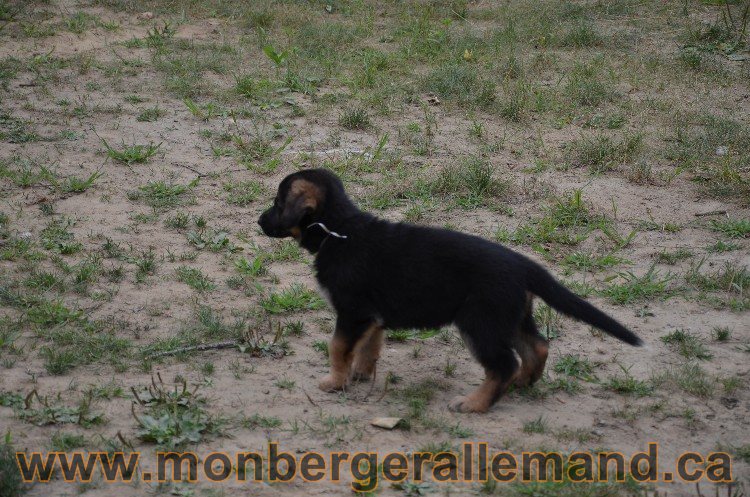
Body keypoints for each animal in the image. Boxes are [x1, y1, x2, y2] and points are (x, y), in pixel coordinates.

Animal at [260, 169, 648, 412]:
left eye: (278, 203)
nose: (258, 221)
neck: (339, 231)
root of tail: (523, 264)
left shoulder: (352, 312)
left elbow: (338, 347)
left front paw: (334, 382)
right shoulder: (371, 317)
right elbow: (369, 348)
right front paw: (360, 374)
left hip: (479, 322)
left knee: (503, 364)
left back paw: (475, 404)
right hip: (508, 316)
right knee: (537, 347)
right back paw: (523, 383)